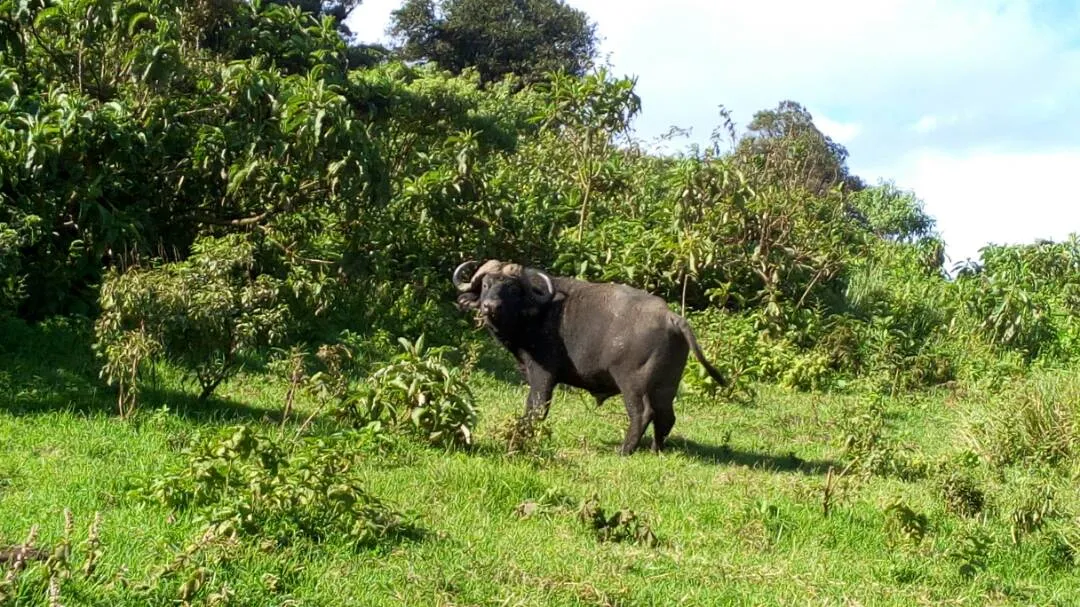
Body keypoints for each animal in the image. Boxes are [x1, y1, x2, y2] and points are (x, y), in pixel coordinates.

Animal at [452, 259, 728, 455]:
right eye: (486, 284)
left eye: (511, 288)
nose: (490, 306)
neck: (537, 311)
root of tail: (670, 317)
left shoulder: (542, 375)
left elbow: (536, 407)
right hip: (666, 386)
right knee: (666, 416)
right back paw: (655, 449)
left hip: (633, 384)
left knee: (642, 413)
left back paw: (624, 450)